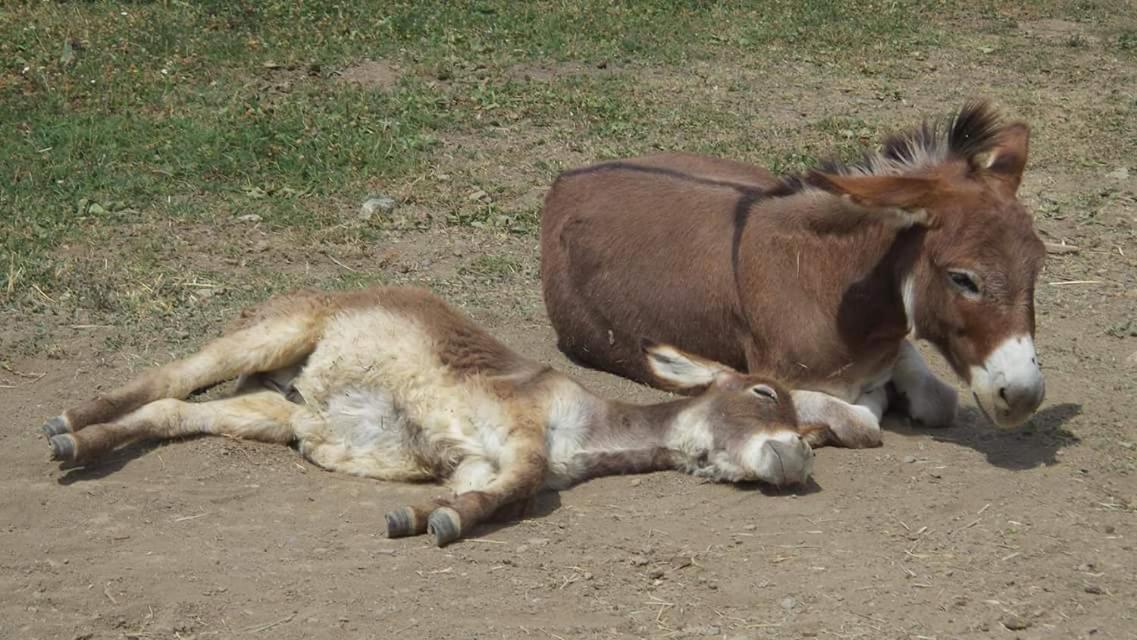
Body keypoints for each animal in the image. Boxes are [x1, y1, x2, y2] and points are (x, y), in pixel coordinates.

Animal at [42, 288, 827, 545]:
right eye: (765, 395)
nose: (801, 454)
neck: (587, 426)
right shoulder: (519, 429)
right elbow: (523, 487)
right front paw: (441, 524)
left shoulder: (482, 459)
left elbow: (496, 493)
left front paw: (422, 517)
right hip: (279, 333)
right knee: (170, 376)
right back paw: (67, 422)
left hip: (276, 413)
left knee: (172, 410)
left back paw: (79, 447)